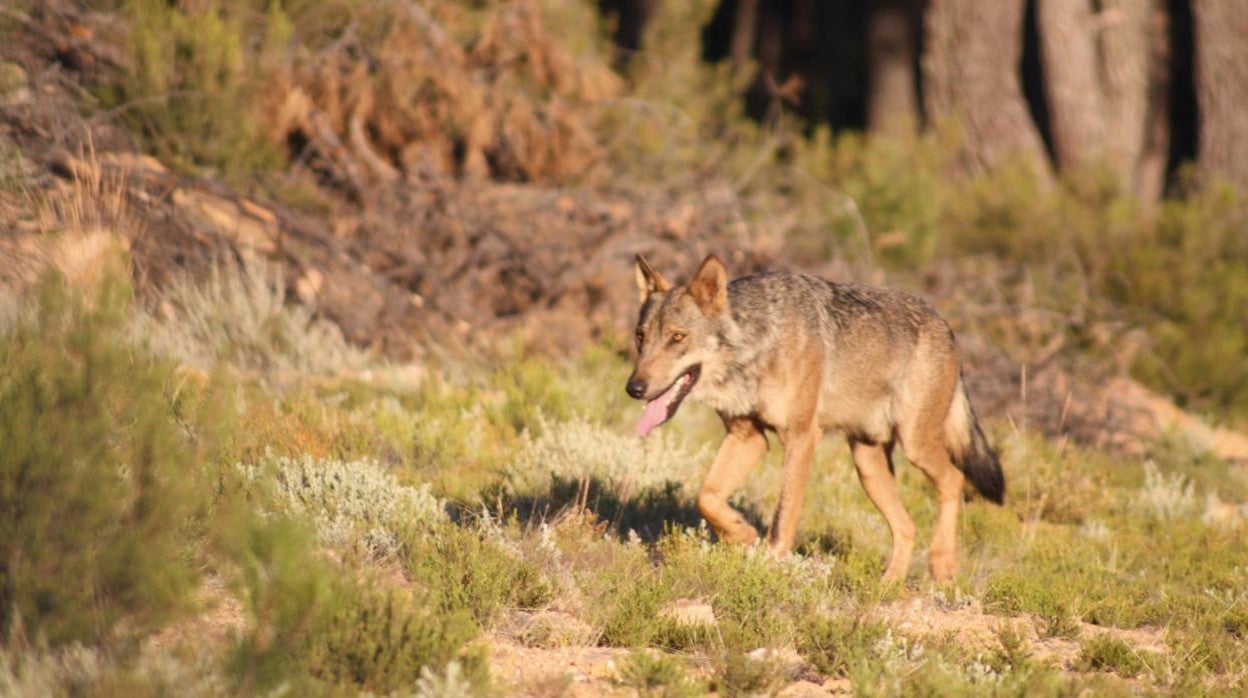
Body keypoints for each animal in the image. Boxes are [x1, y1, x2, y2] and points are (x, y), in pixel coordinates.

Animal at [624, 253, 1003, 581]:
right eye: (641, 337)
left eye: (677, 337)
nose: (634, 388)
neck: (757, 344)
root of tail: (947, 326)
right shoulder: (748, 438)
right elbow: (707, 497)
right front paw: (743, 535)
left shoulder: (802, 436)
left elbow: (783, 518)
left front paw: (769, 568)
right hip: (868, 465)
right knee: (907, 526)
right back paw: (890, 584)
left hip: (915, 445)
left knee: (954, 479)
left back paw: (942, 564)